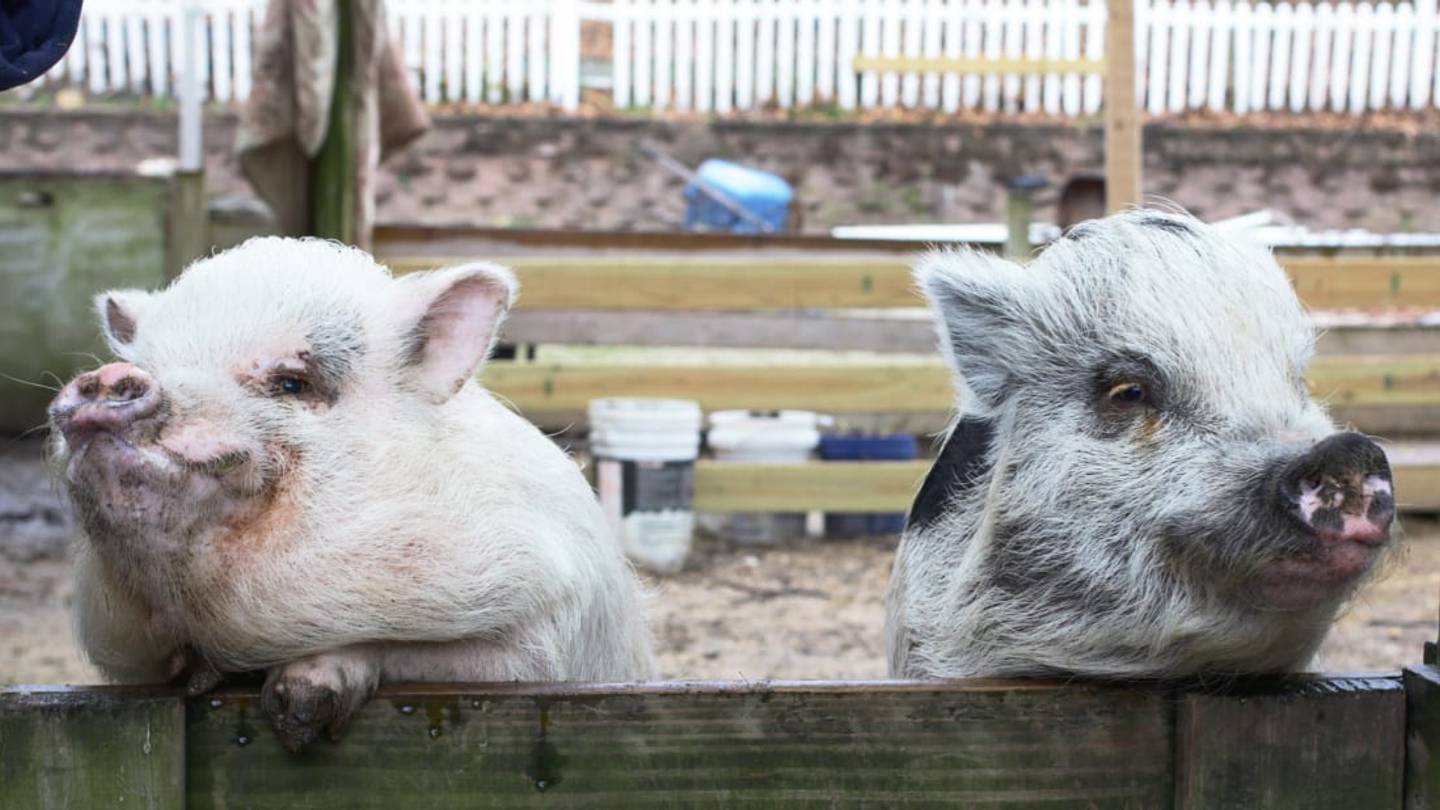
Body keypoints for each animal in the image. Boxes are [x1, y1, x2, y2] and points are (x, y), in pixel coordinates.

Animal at [48, 238, 655, 751]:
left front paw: (297, 712)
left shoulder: (545, 638)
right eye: (150, 364)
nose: (109, 376)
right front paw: (204, 679)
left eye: (292, 383)